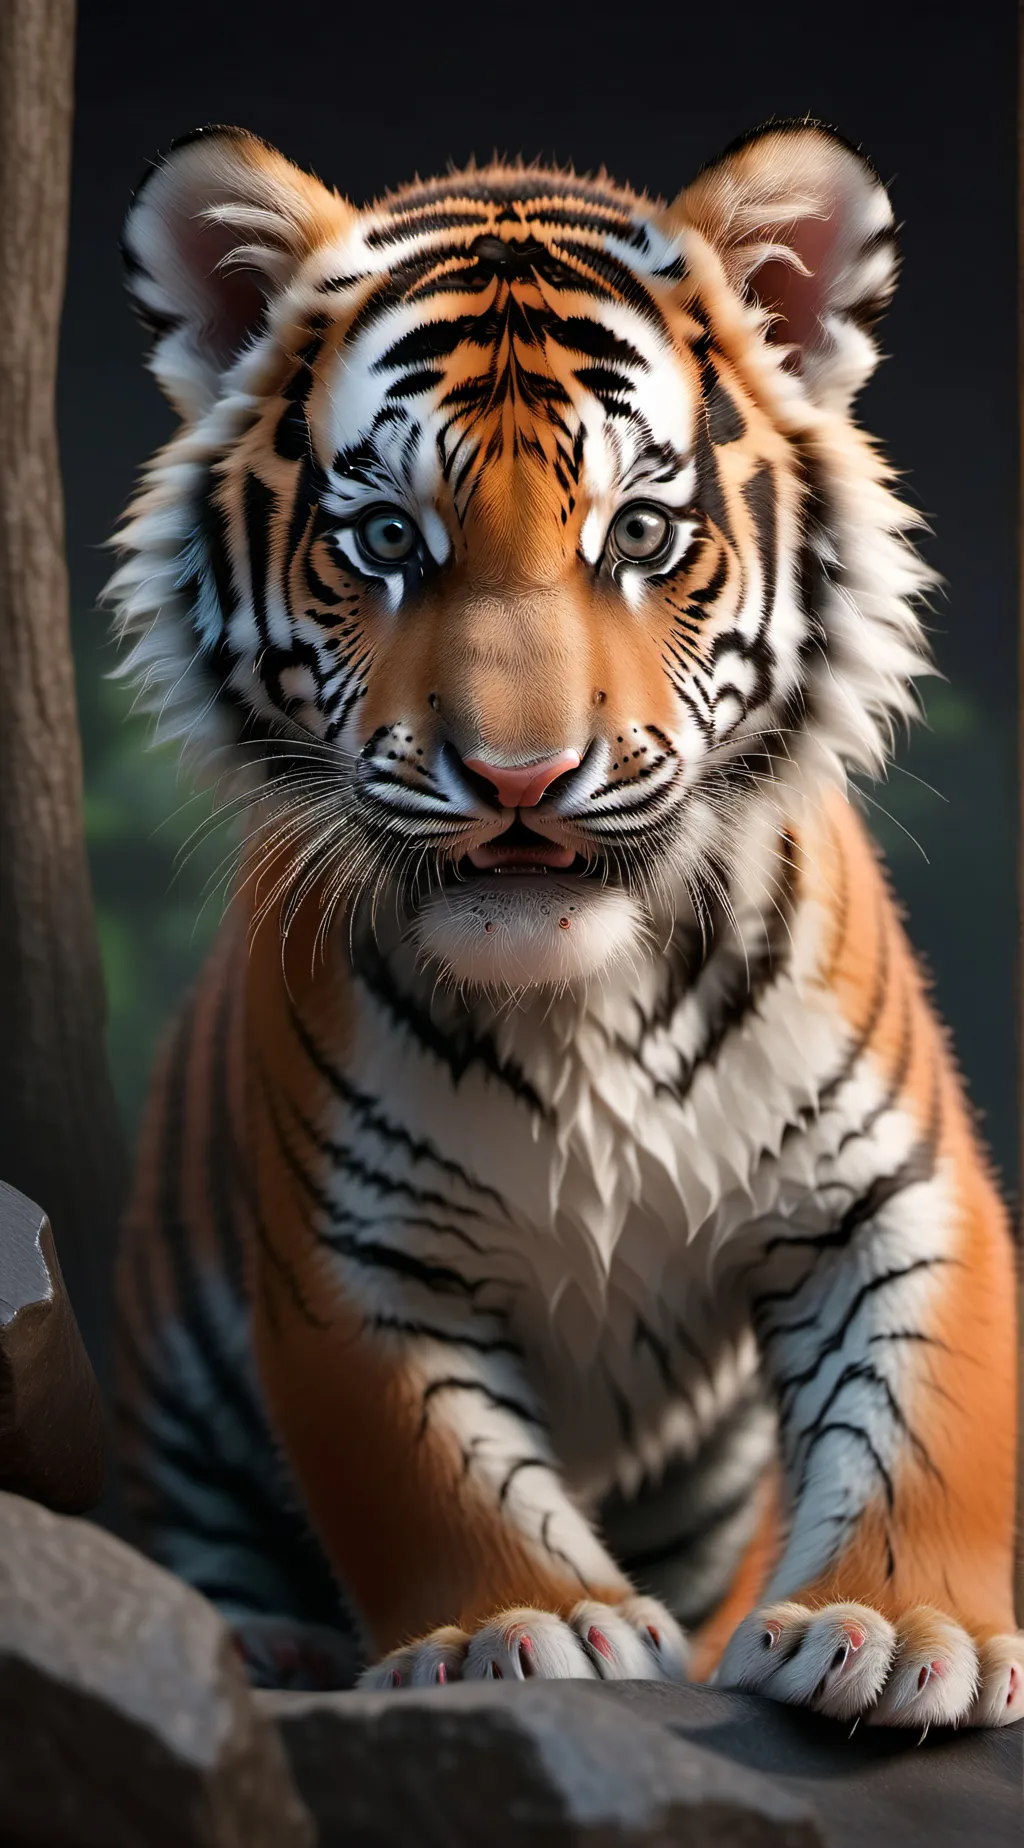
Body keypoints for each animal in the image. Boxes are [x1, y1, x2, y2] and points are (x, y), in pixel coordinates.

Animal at [106, 116, 1023, 1727]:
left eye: (641, 533)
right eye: (385, 539)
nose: (520, 778)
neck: (580, 1004)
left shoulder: (894, 1191)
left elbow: (929, 1411)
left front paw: (903, 1629)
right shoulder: (354, 1257)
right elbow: (428, 1470)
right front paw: (523, 1628)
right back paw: (267, 1646)